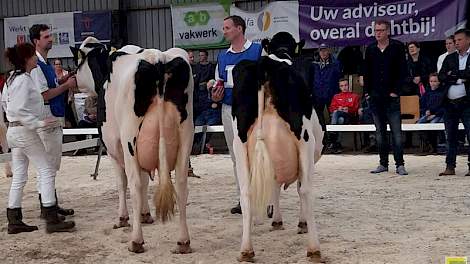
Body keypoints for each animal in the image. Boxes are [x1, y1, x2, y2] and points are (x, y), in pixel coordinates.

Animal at [70, 37, 195, 254]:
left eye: (78, 63)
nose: (71, 79)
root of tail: (158, 58)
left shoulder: (113, 147)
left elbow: (123, 183)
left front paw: (123, 218)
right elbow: (145, 181)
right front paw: (145, 215)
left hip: (129, 138)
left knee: (134, 184)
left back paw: (136, 240)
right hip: (186, 135)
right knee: (181, 183)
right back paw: (183, 241)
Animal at [230, 31, 324, 262]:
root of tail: (265, 65)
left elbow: (273, 184)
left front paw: (276, 220)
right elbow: (298, 188)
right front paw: (300, 223)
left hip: (239, 143)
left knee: (246, 192)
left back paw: (246, 249)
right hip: (305, 140)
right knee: (306, 190)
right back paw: (314, 248)